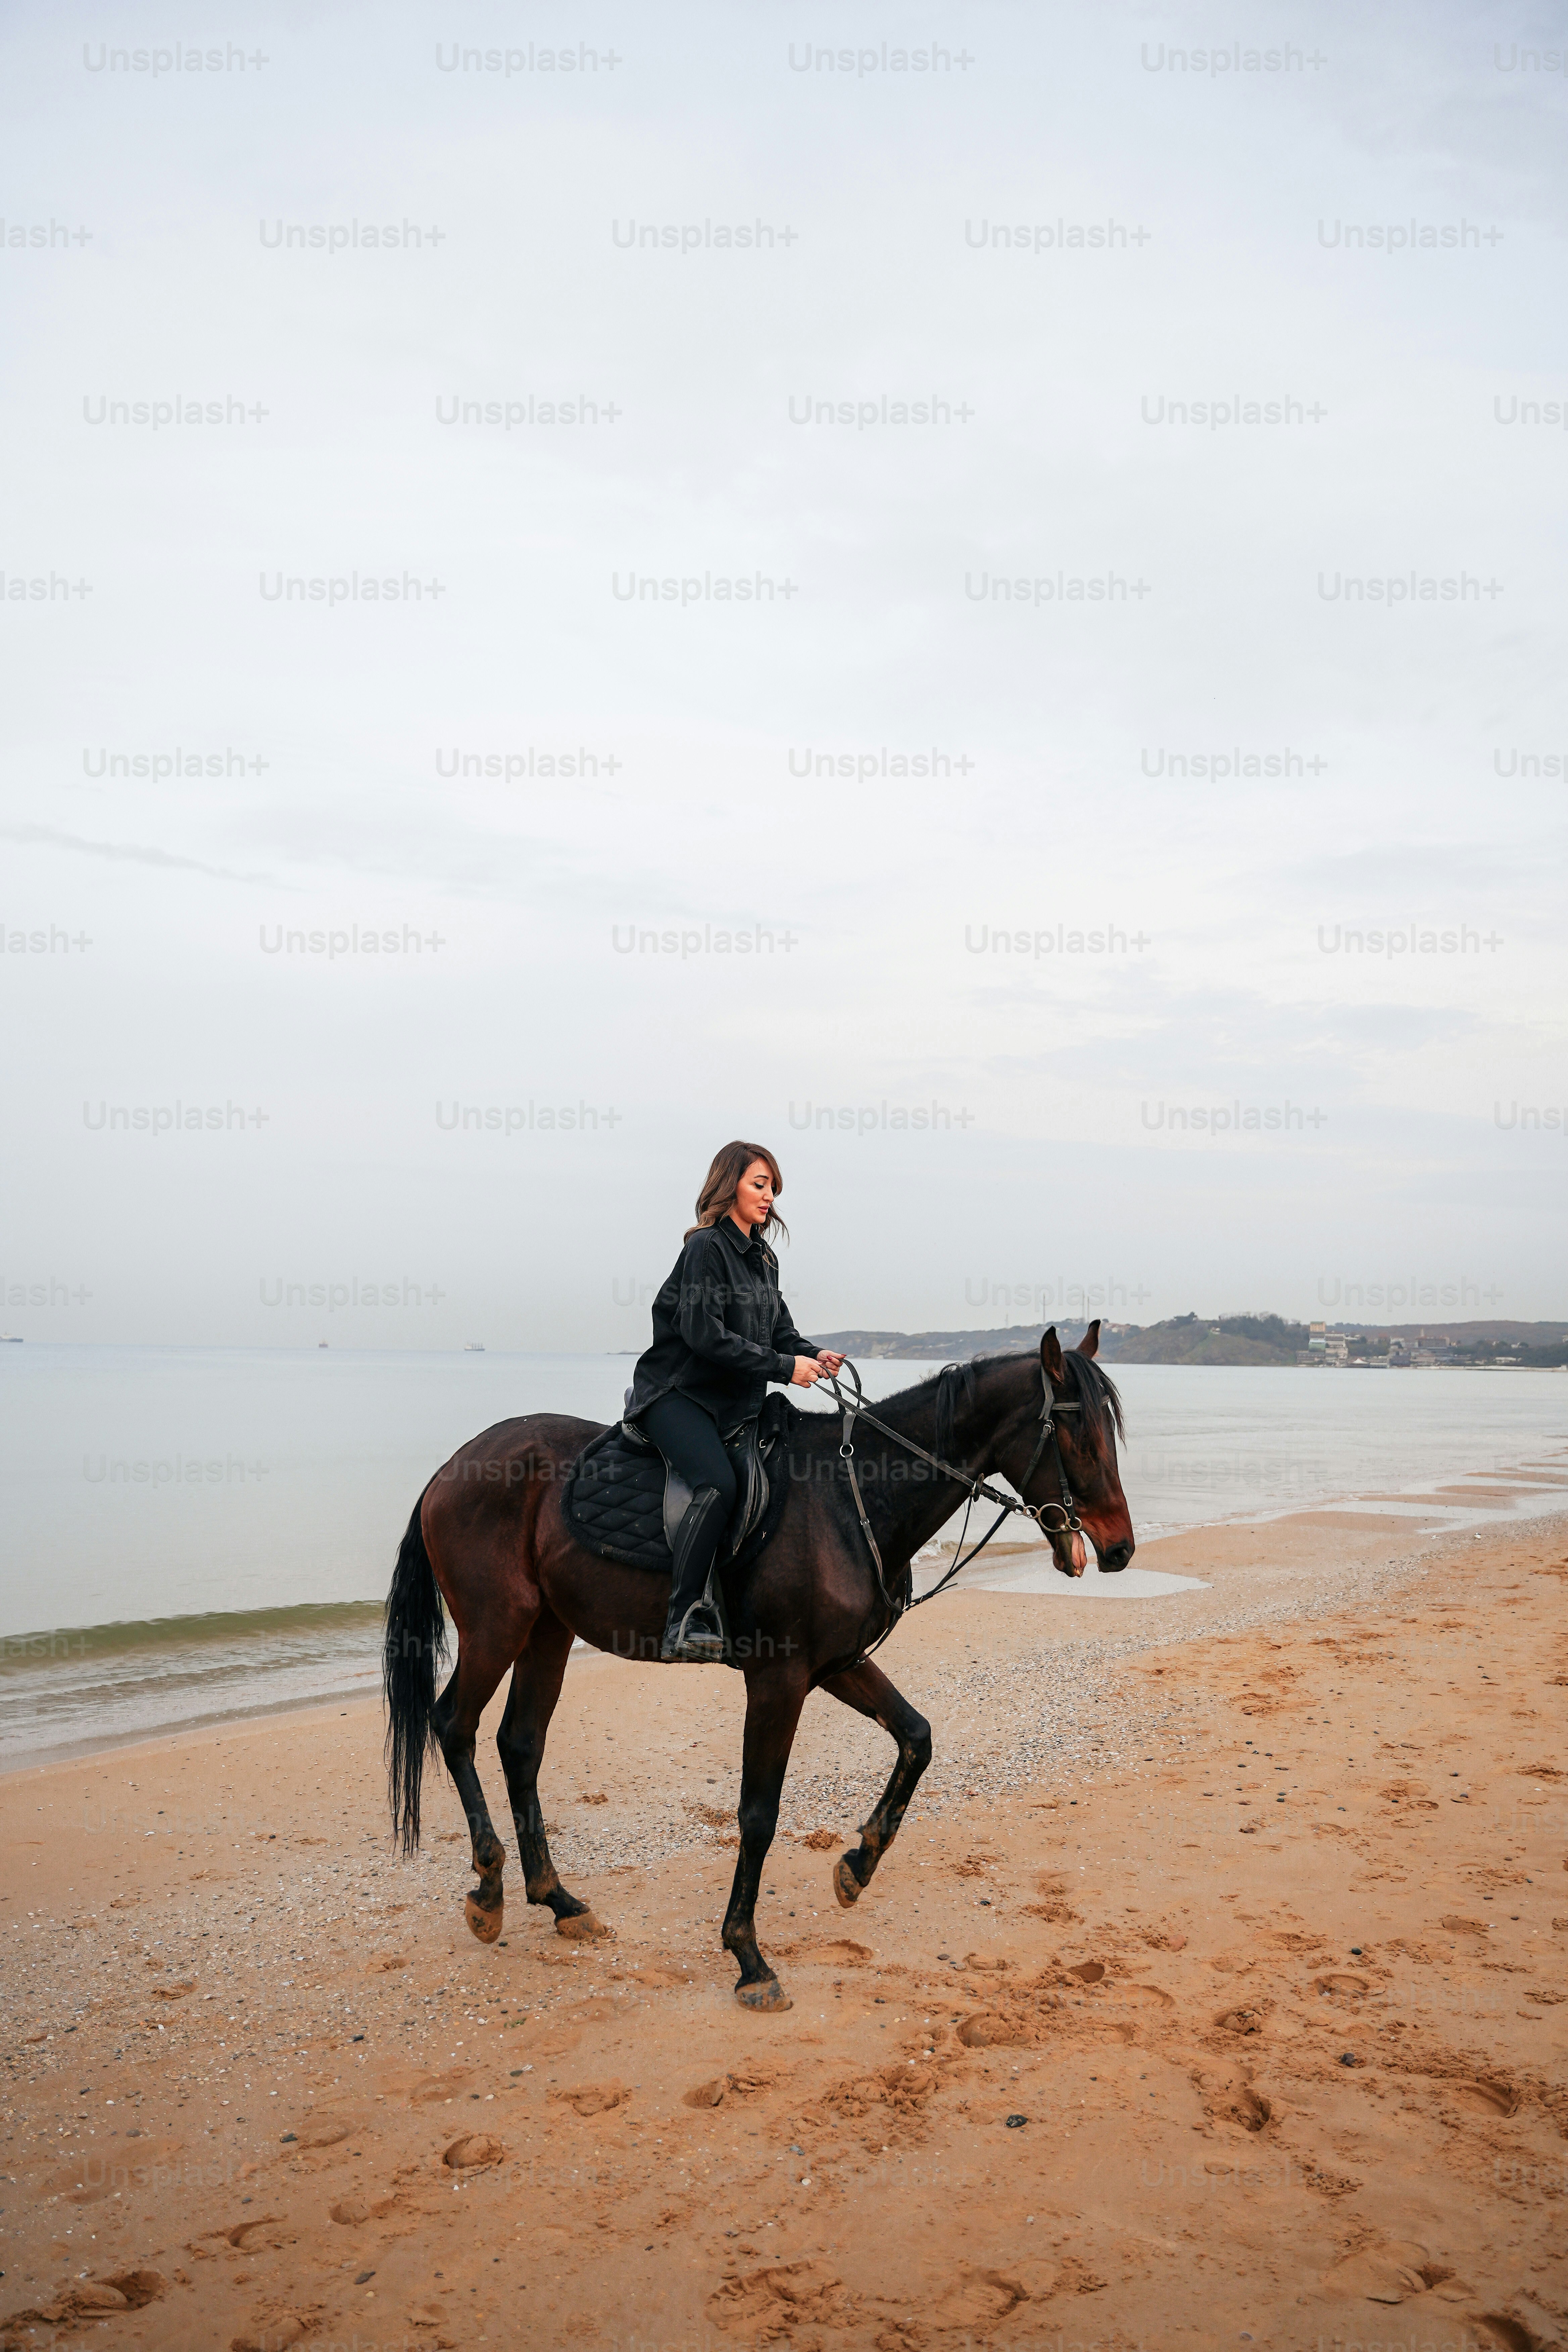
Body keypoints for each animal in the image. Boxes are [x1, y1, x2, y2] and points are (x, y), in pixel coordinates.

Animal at [382, 1323, 1133, 2011]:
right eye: (1075, 1432)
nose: (1119, 1548)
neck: (849, 1496)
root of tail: (455, 1465)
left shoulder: (835, 1663)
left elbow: (916, 1738)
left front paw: (858, 1864)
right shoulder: (779, 1680)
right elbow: (758, 1813)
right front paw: (748, 1955)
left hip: (547, 1630)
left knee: (520, 1743)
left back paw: (559, 1900)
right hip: (497, 1624)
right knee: (453, 1726)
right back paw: (489, 1888)